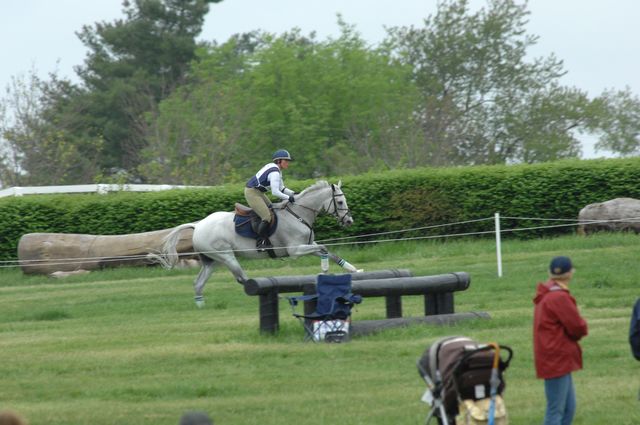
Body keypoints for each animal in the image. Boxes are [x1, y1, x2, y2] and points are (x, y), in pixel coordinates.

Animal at [151, 179, 360, 304]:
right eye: (340, 202)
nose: (349, 221)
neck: (298, 214)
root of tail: (198, 225)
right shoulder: (295, 250)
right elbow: (325, 248)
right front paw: (324, 270)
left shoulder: (309, 245)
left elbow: (329, 252)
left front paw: (354, 270)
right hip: (226, 256)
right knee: (241, 278)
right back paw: (266, 293)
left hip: (212, 261)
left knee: (199, 282)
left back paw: (200, 305)